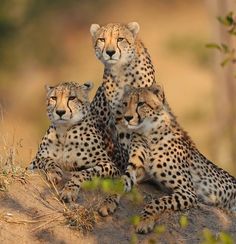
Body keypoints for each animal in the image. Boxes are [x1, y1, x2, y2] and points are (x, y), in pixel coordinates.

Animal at [120, 83, 236, 233]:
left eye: (141, 103)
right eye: (125, 103)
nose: (127, 118)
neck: (149, 134)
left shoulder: (188, 192)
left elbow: (157, 201)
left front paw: (145, 220)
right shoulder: (138, 171)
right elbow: (122, 180)